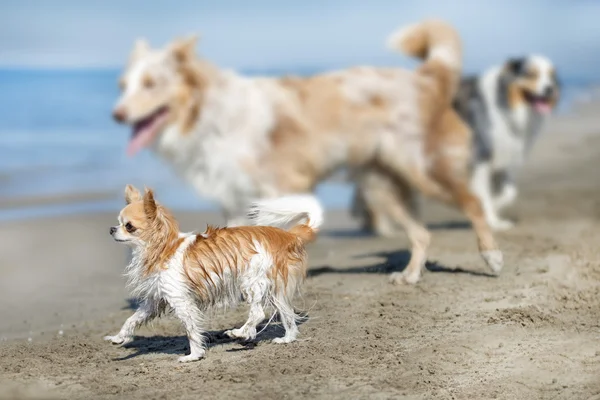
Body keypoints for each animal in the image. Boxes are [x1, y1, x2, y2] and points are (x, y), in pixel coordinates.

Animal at [112, 19, 502, 284]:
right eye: (124, 85)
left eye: (151, 84)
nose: (116, 115)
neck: (209, 114)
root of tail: (423, 77)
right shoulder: (235, 197)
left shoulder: (281, 187)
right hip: (380, 186)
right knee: (421, 233)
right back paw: (410, 275)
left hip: (420, 169)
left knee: (473, 203)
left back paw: (492, 256)